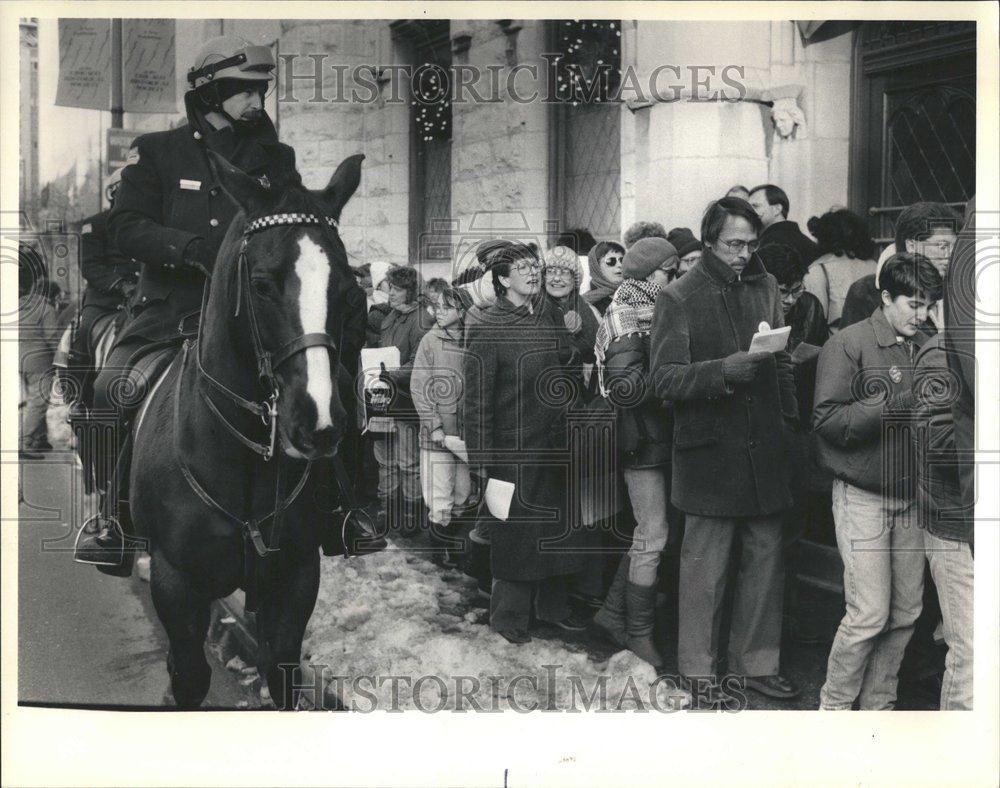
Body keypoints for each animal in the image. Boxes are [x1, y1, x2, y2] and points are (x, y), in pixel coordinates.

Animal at [130, 152, 368, 708]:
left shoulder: (296, 576)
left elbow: (281, 673)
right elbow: (190, 675)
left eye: (349, 291)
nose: (319, 424)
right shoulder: (175, 582)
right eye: (261, 285)